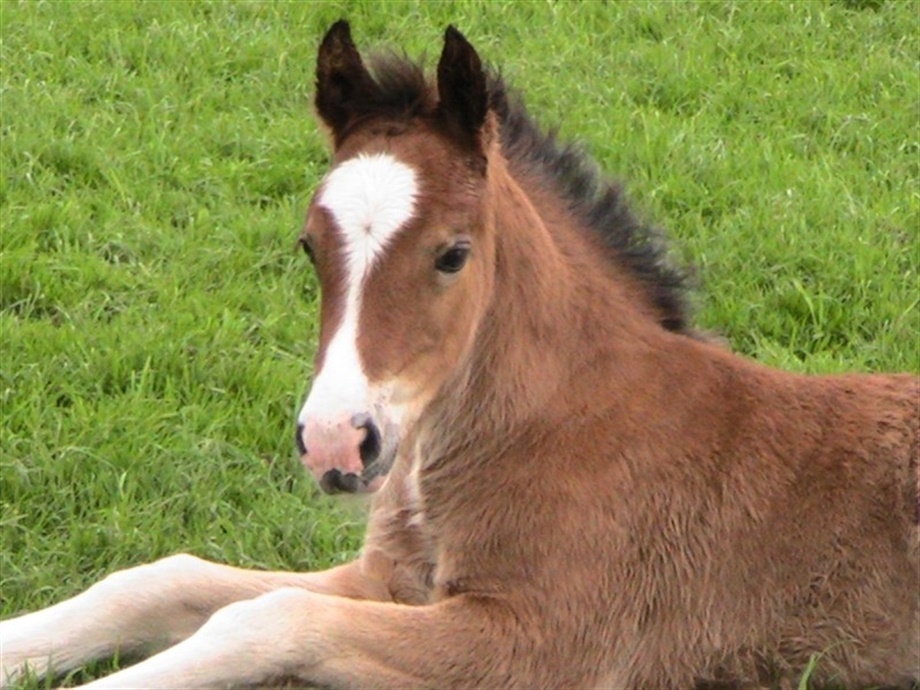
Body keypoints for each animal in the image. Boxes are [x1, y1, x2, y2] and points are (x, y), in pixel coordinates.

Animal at [1, 21, 917, 690]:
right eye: (308, 245)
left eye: (452, 254)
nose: (336, 443)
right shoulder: (389, 580)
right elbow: (164, 581)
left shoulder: (545, 641)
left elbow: (268, 620)